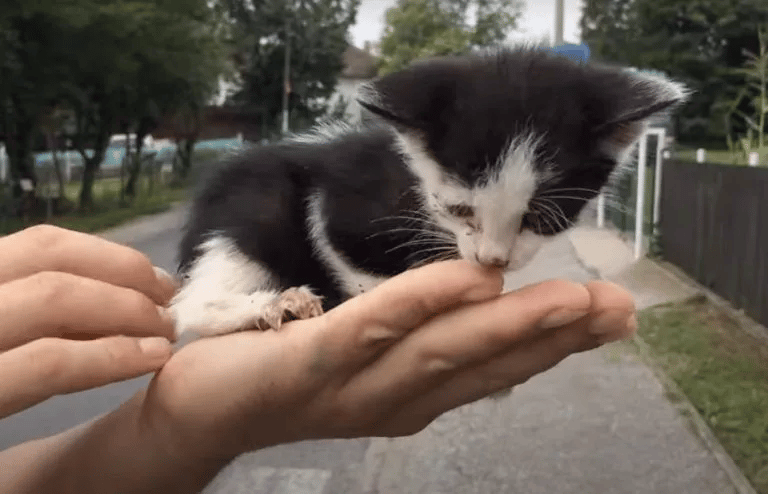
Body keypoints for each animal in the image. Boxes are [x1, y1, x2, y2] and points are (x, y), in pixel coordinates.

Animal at [171, 46, 688, 338]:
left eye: (540, 220)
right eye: (460, 209)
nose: (493, 260)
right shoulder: (343, 195)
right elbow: (338, 246)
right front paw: (371, 292)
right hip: (256, 204)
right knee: (191, 304)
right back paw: (276, 304)